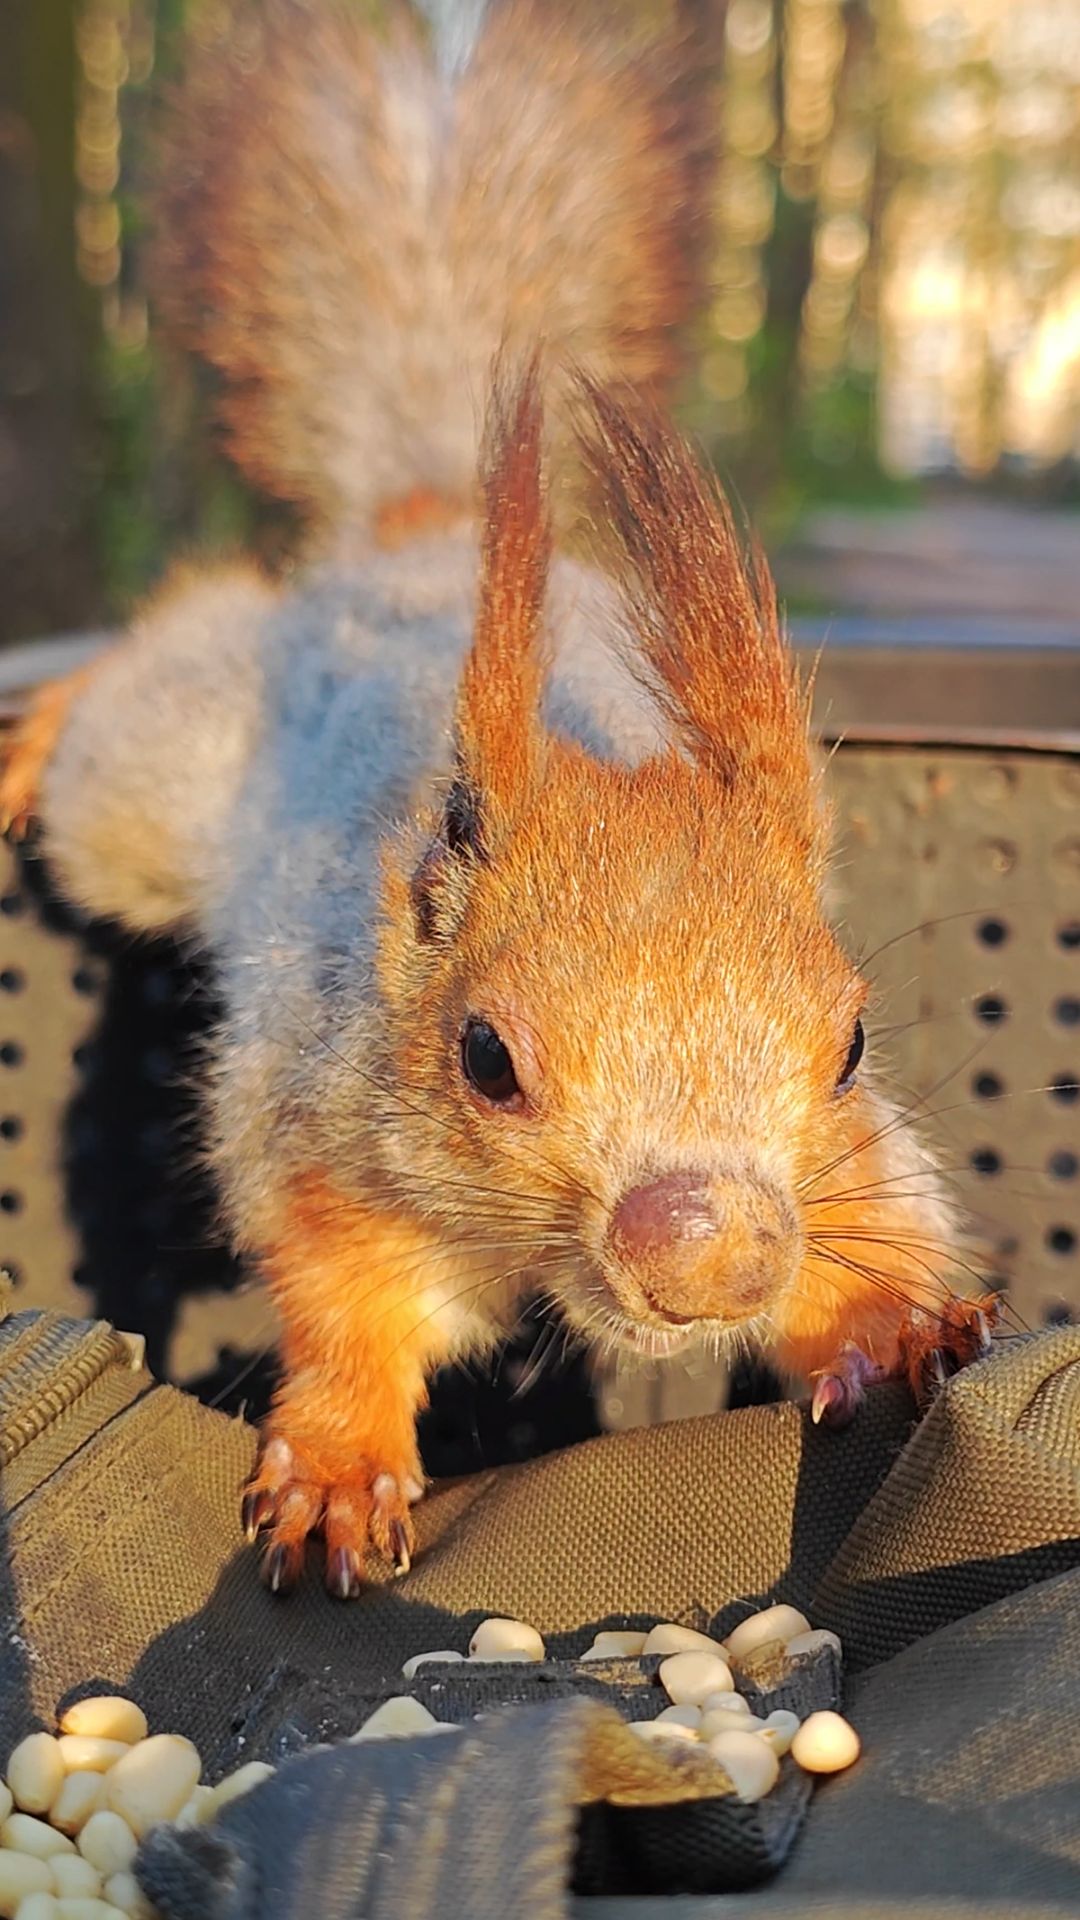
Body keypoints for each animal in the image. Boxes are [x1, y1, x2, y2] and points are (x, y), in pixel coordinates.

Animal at [0, 0, 997, 1597]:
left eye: (851, 1044)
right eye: (485, 1058)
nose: (716, 1253)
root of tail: (423, 534)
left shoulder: (848, 1162)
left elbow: (871, 1227)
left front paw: (891, 1322)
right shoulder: (321, 1124)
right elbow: (341, 1298)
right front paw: (339, 1461)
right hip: (152, 783)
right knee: (160, 659)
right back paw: (45, 726)